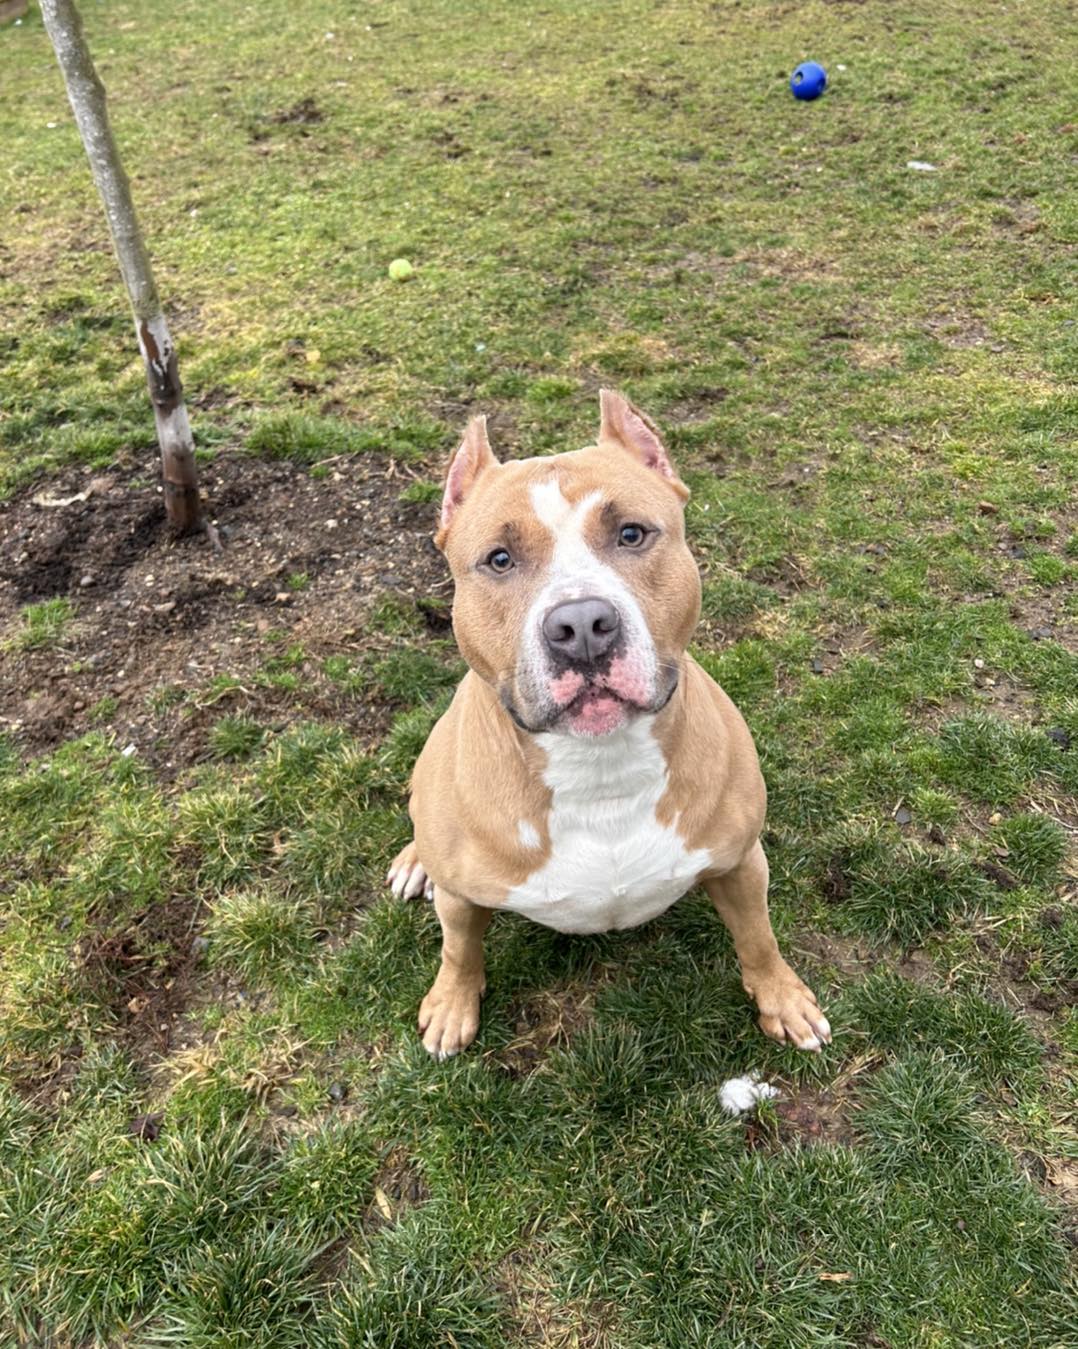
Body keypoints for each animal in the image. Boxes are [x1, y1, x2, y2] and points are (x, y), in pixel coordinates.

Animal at [388, 391, 836, 1063]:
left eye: (631, 533)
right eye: (499, 559)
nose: (580, 626)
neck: (599, 768)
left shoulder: (739, 863)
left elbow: (758, 937)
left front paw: (783, 1000)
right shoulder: (463, 899)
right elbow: (459, 949)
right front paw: (451, 1006)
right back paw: (415, 861)